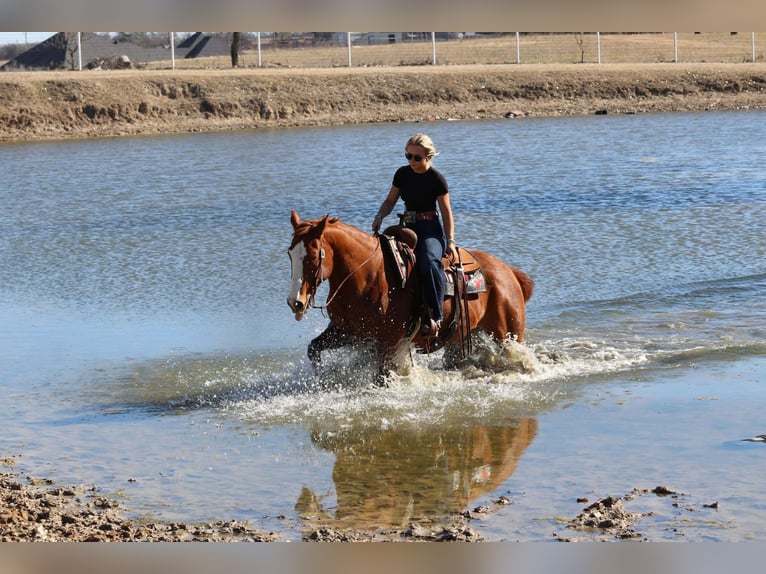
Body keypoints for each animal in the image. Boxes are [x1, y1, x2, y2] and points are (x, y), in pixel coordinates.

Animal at [287, 209, 533, 380]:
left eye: (312, 256)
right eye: (290, 253)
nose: (295, 302)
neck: (365, 275)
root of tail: (509, 272)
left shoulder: (388, 341)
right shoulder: (346, 332)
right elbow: (313, 349)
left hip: (509, 334)